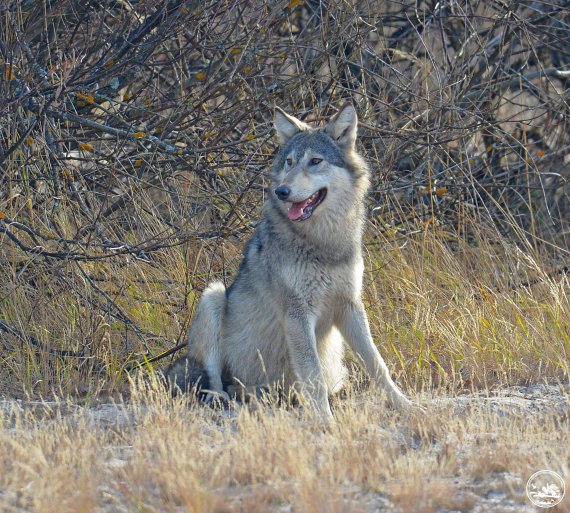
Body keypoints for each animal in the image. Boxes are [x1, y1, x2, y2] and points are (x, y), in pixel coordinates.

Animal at [164, 104, 412, 420]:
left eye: (315, 161)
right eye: (290, 162)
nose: (281, 191)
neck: (323, 243)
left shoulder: (350, 306)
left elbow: (378, 365)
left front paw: (407, 406)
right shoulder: (297, 313)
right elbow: (313, 375)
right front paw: (326, 421)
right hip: (214, 295)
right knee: (216, 382)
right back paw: (227, 401)